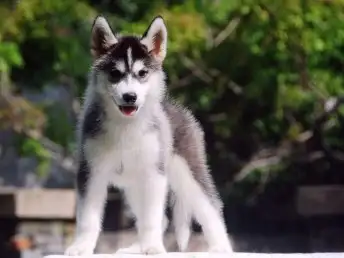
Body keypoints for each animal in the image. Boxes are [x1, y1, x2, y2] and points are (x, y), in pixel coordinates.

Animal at [64, 15, 232, 255]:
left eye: (142, 73)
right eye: (115, 74)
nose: (130, 96)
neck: (126, 126)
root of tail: (175, 108)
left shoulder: (154, 174)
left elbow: (151, 218)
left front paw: (153, 247)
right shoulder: (91, 171)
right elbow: (88, 218)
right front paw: (81, 247)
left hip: (187, 171)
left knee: (210, 207)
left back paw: (221, 247)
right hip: (134, 185)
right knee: (161, 219)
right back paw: (136, 248)